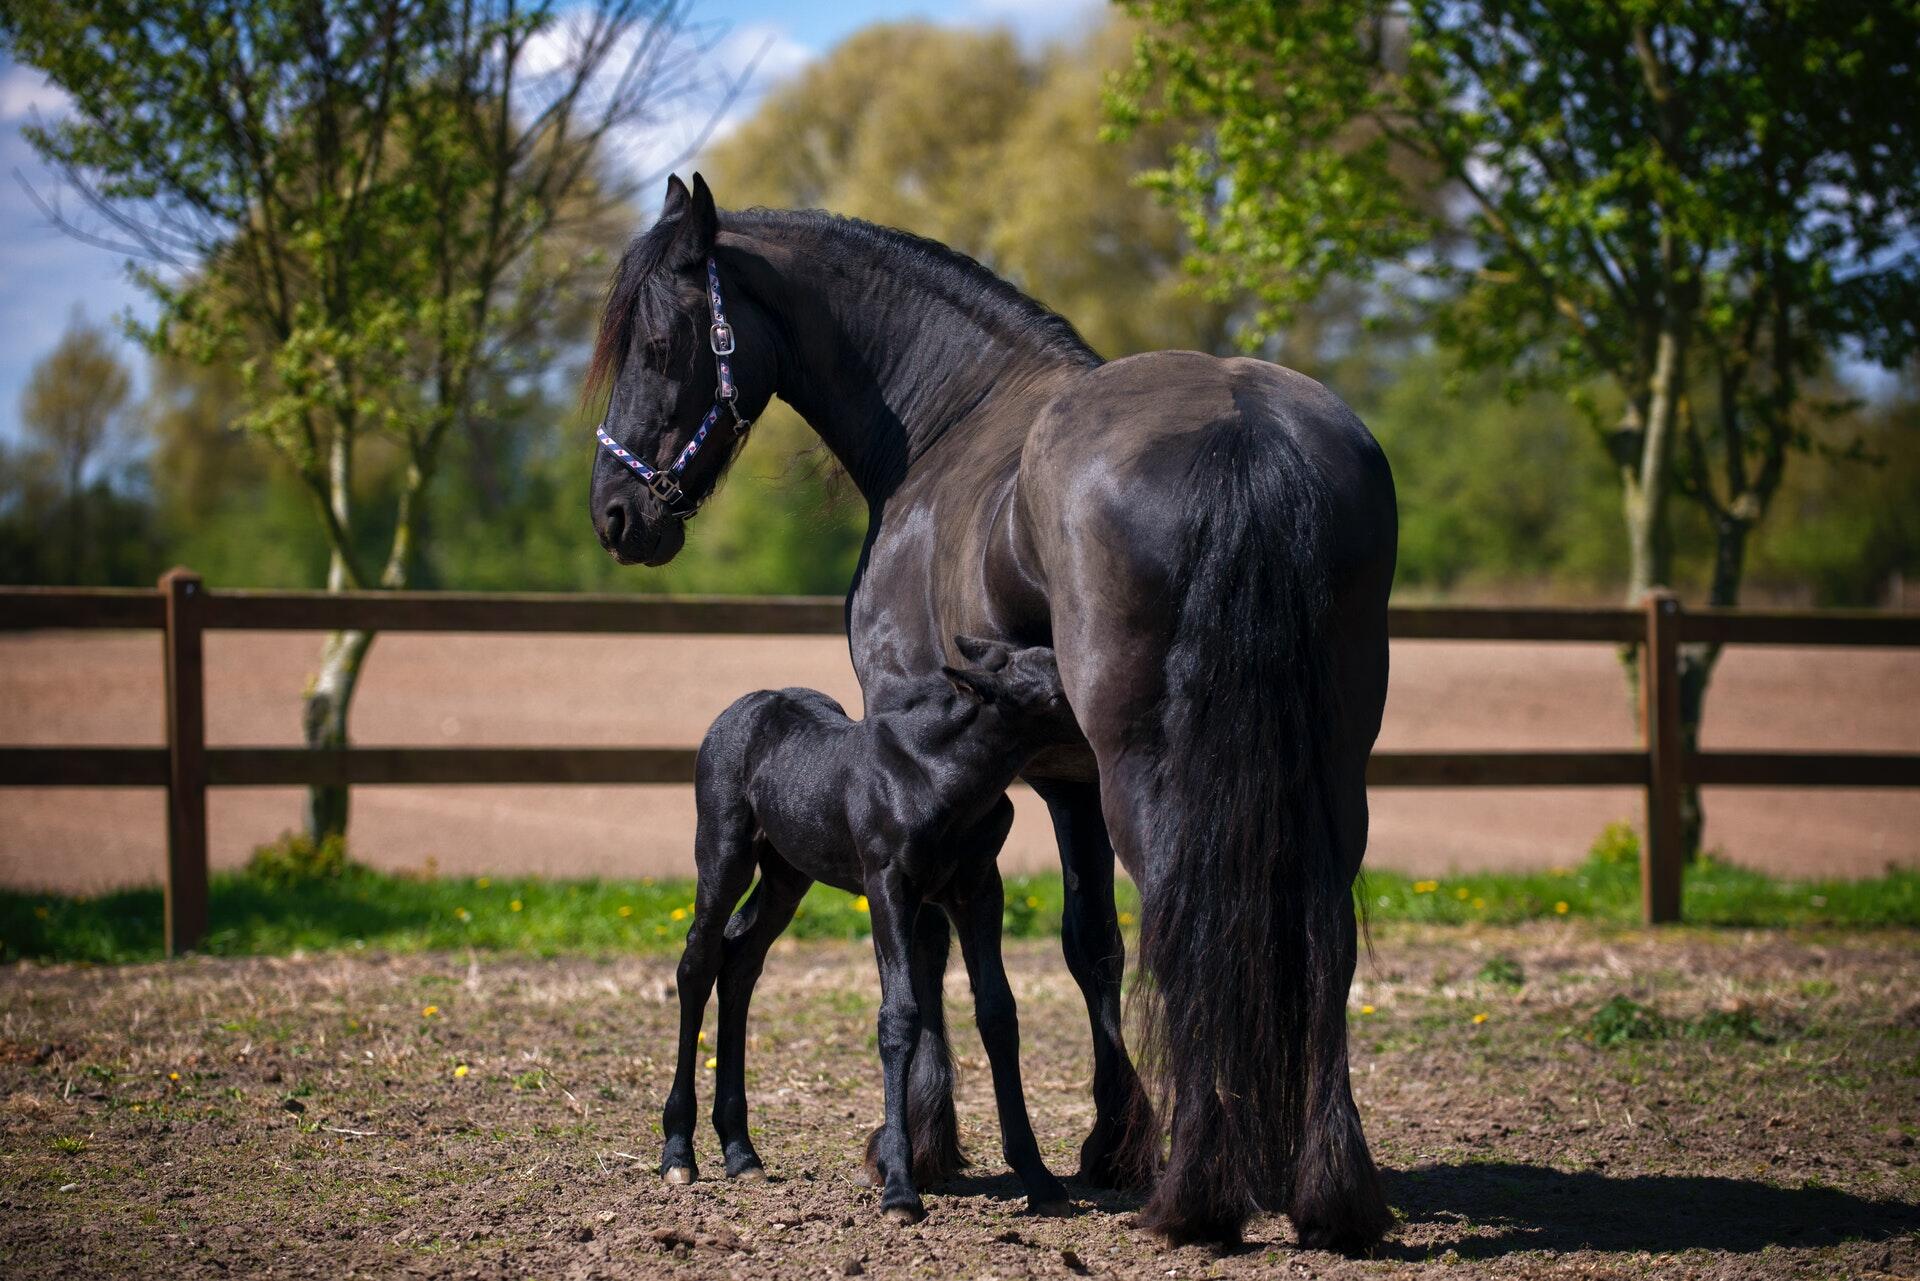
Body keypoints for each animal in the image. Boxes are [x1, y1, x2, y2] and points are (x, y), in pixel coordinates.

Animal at [660, 637, 1082, 1221]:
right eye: (1058, 690)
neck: (939, 776)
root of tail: (742, 708)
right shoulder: (888, 885)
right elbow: (899, 1016)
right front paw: (900, 1189)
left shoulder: (979, 888)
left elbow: (998, 1013)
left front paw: (1039, 1178)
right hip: (723, 852)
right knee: (698, 963)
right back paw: (679, 1153)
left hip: (788, 873)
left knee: (740, 961)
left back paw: (742, 1153)